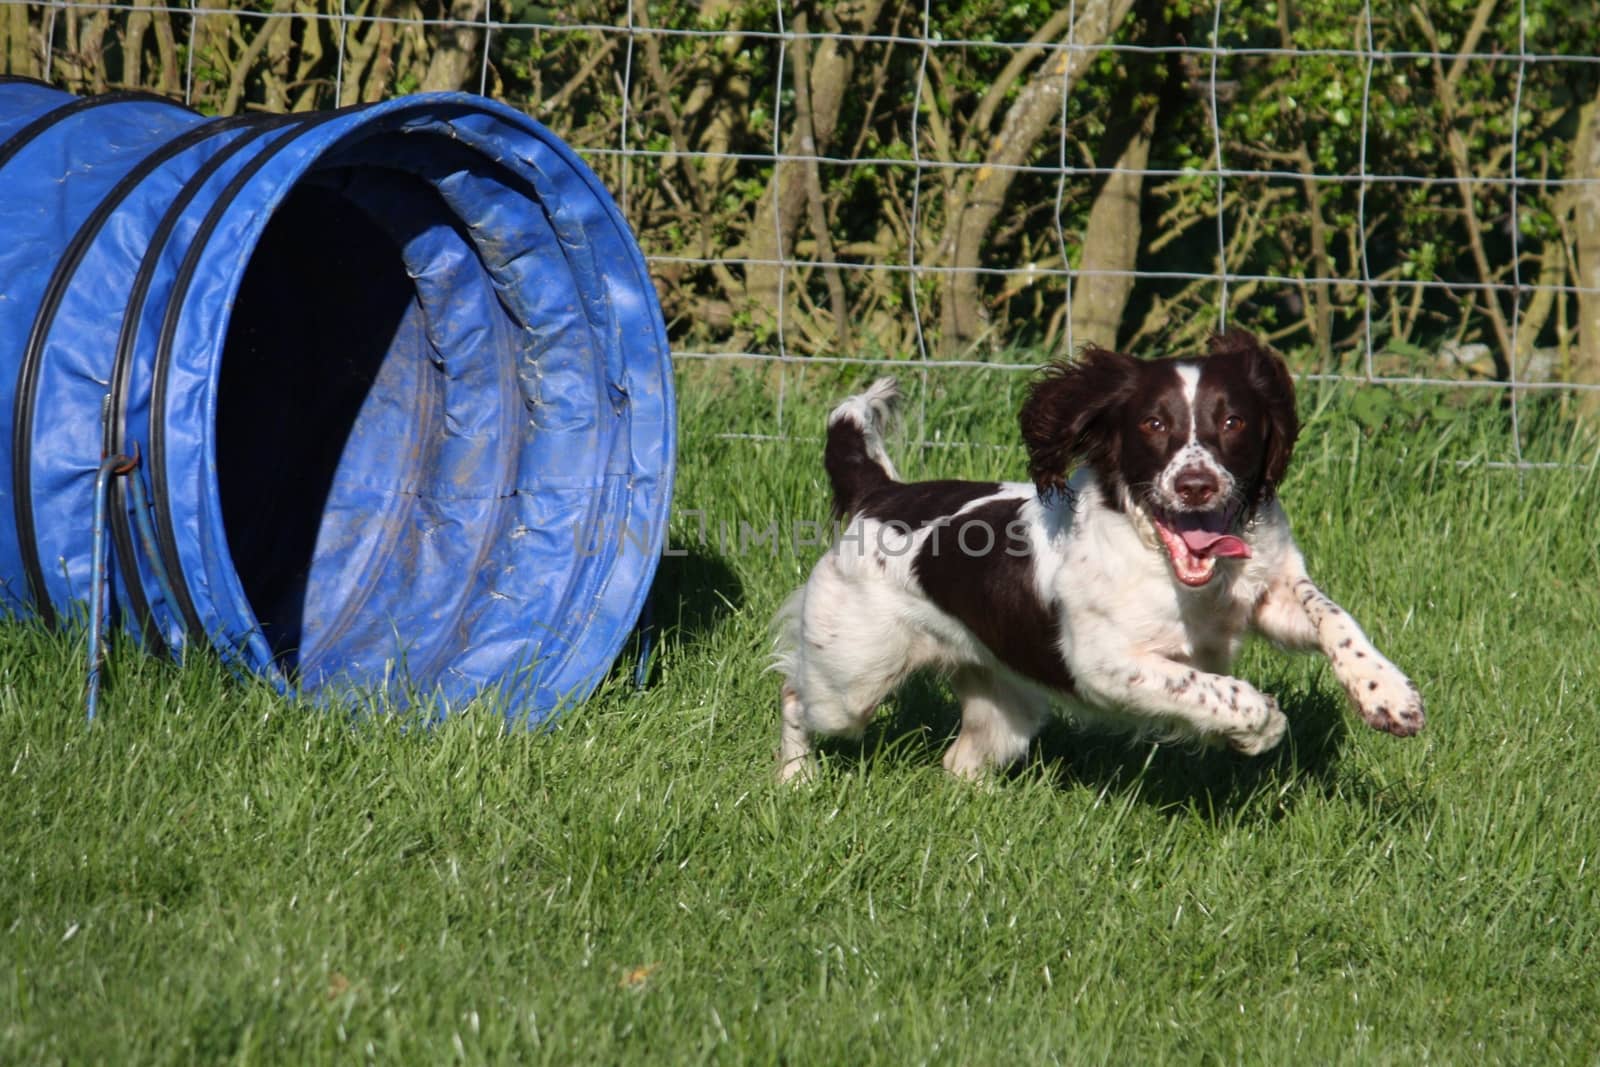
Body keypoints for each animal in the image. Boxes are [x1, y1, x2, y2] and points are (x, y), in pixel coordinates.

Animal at [774, 329, 1427, 780]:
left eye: (1234, 421)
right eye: (1155, 423)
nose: (1196, 485)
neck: (1175, 569)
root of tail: (881, 492)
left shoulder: (1270, 589)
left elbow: (1333, 616)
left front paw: (1388, 696)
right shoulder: (1106, 665)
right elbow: (1218, 690)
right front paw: (1259, 729)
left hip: (1001, 700)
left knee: (961, 761)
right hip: (852, 677)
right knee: (797, 696)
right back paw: (796, 780)